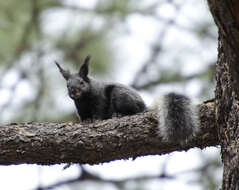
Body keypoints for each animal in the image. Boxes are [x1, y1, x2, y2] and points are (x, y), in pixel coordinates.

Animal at [55, 55, 199, 145]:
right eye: (67, 85)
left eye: (81, 82)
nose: (73, 91)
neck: (83, 99)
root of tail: (144, 106)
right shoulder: (80, 107)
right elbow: (83, 116)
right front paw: (86, 121)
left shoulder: (100, 99)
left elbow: (99, 111)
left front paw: (95, 120)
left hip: (120, 96)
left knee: (133, 111)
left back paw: (118, 114)